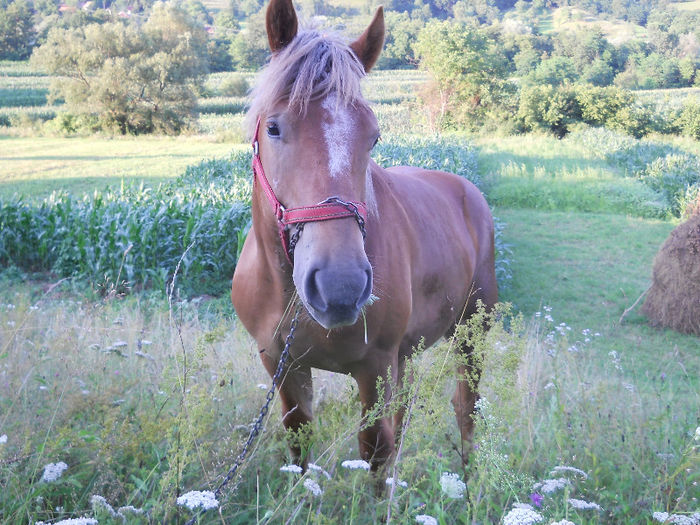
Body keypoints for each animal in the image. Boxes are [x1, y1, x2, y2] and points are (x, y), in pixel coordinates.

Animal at [231, 0, 498, 470]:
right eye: (274, 127)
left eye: (373, 136)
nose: (340, 286)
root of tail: (468, 190)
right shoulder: (282, 365)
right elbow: (299, 439)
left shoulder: (376, 366)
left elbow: (377, 448)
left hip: (471, 334)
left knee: (466, 407)